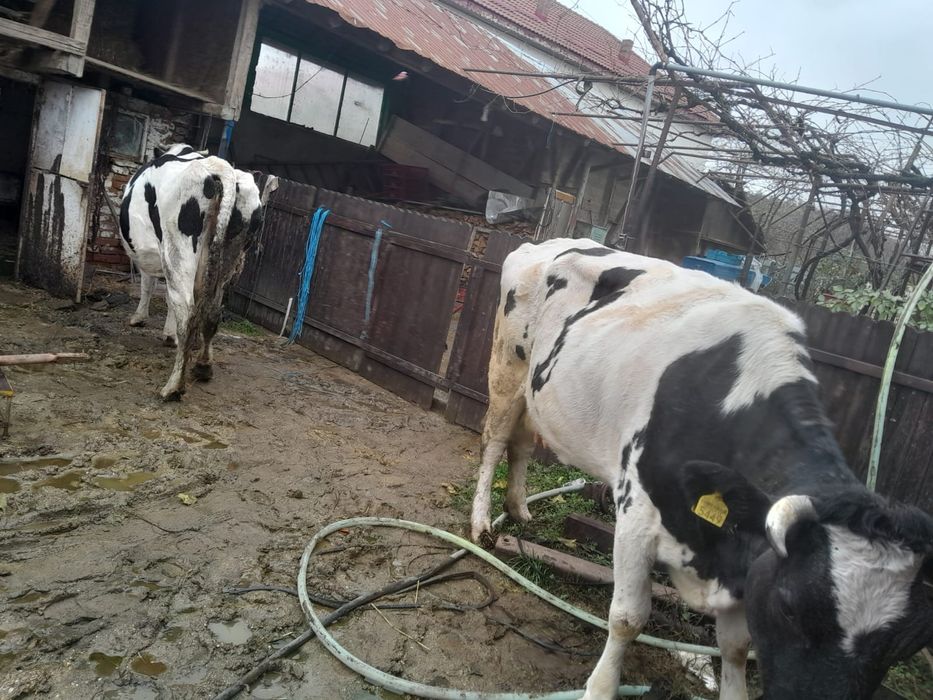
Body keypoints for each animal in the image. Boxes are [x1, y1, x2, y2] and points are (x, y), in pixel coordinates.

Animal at [118, 144, 277, 400]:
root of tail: (221, 168)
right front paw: (169, 334)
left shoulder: (151, 257)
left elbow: (149, 286)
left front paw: (140, 319)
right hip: (230, 257)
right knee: (212, 312)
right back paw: (203, 366)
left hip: (177, 249)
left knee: (186, 311)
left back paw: (174, 386)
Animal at [471, 238, 933, 700]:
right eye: (789, 608)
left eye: (905, 646)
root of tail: (554, 242)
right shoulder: (636, 514)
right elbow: (628, 618)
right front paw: (600, 688)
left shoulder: (749, 556)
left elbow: (735, 646)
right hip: (508, 367)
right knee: (494, 442)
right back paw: (481, 524)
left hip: (535, 395)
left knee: (522, 445)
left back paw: (518, 509)